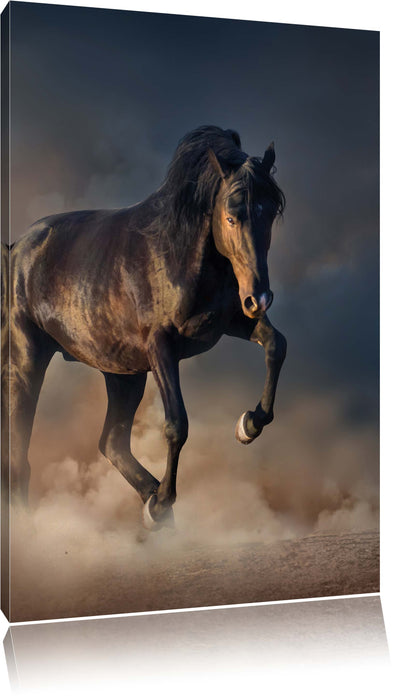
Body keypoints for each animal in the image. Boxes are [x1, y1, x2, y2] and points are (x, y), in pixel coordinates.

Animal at [2, 125, 286, 530]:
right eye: (232, 216)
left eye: (271, 212)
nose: (259, 298)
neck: (178, 254)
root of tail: (15, 250)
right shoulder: (161, 348)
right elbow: (177, 424)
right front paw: (164, 500)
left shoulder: (231, 322)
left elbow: (277, 344)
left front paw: (248, 425)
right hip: (27, 362)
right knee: (20, 455)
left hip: (123, 374)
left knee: (111, 441)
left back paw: (152, 503)